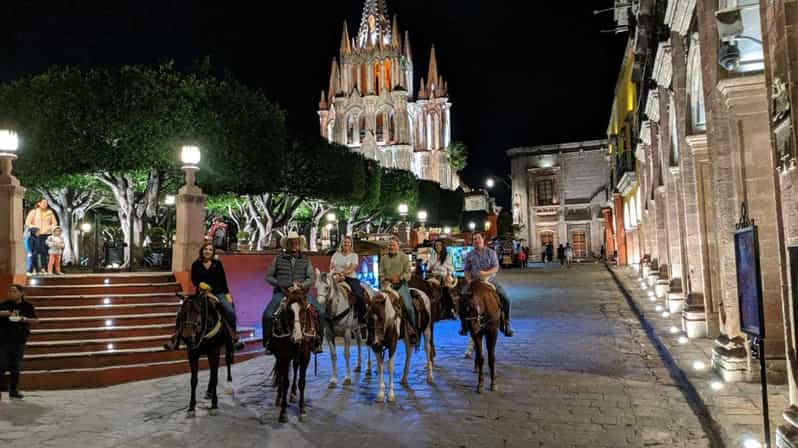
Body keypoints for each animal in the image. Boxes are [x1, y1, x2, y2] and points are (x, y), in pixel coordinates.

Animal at [174, 288, 234, 418]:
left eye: (197, 311)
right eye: (182, 313)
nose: (186, 337)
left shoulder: (214, 351)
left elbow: (215, 377)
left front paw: (214, 405)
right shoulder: (192, 354)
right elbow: (193, 381)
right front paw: (191, 407)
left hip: (227, 344)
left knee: (227, 361)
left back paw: (229, 385)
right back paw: (209, 392)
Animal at [268, 288, 318, 424]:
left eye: (303, 310)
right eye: (288, 311)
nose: (298, 337)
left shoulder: (305, 356)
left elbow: (302, 382)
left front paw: (302, 410)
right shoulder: (284, 356)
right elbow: (285, 382)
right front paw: (283, 412)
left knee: (295, 368)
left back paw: (293, 393)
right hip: (280, 357)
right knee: (281, 375)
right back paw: (280, 397)